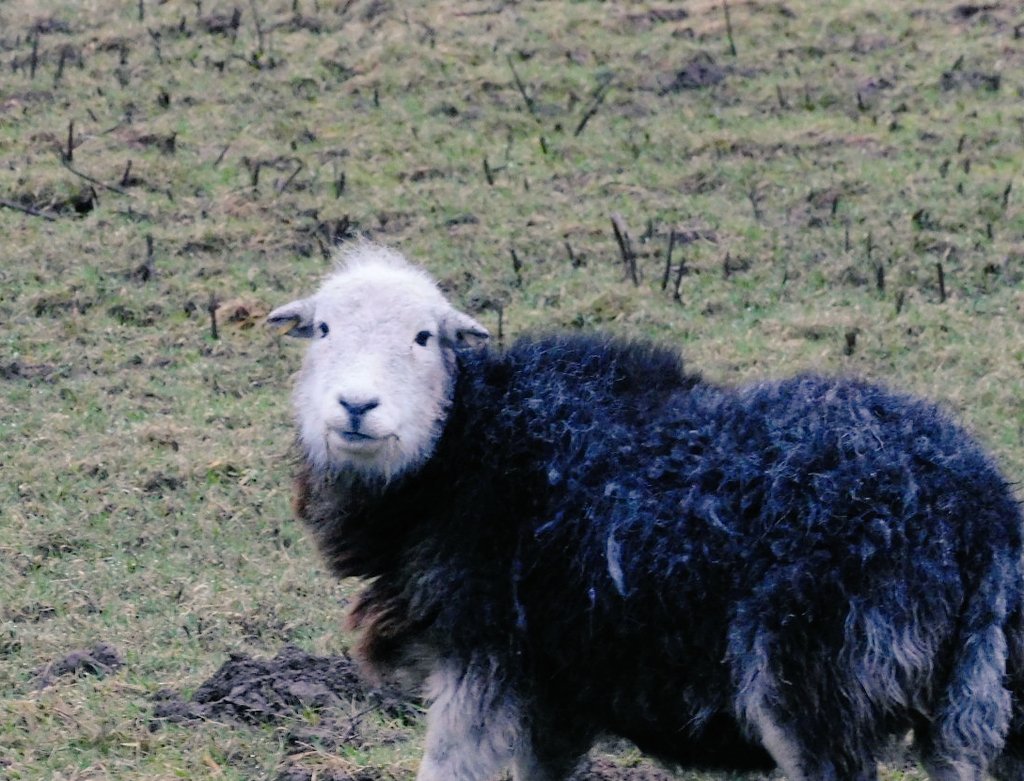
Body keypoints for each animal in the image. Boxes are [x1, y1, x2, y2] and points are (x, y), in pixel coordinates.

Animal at [268, 242, 1024, 781]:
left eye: (426, 337)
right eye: (323, 329)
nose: (357, 406)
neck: (465, 442)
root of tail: (978, 507)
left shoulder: (481, 656)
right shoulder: (557, 688)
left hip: (814, 689)